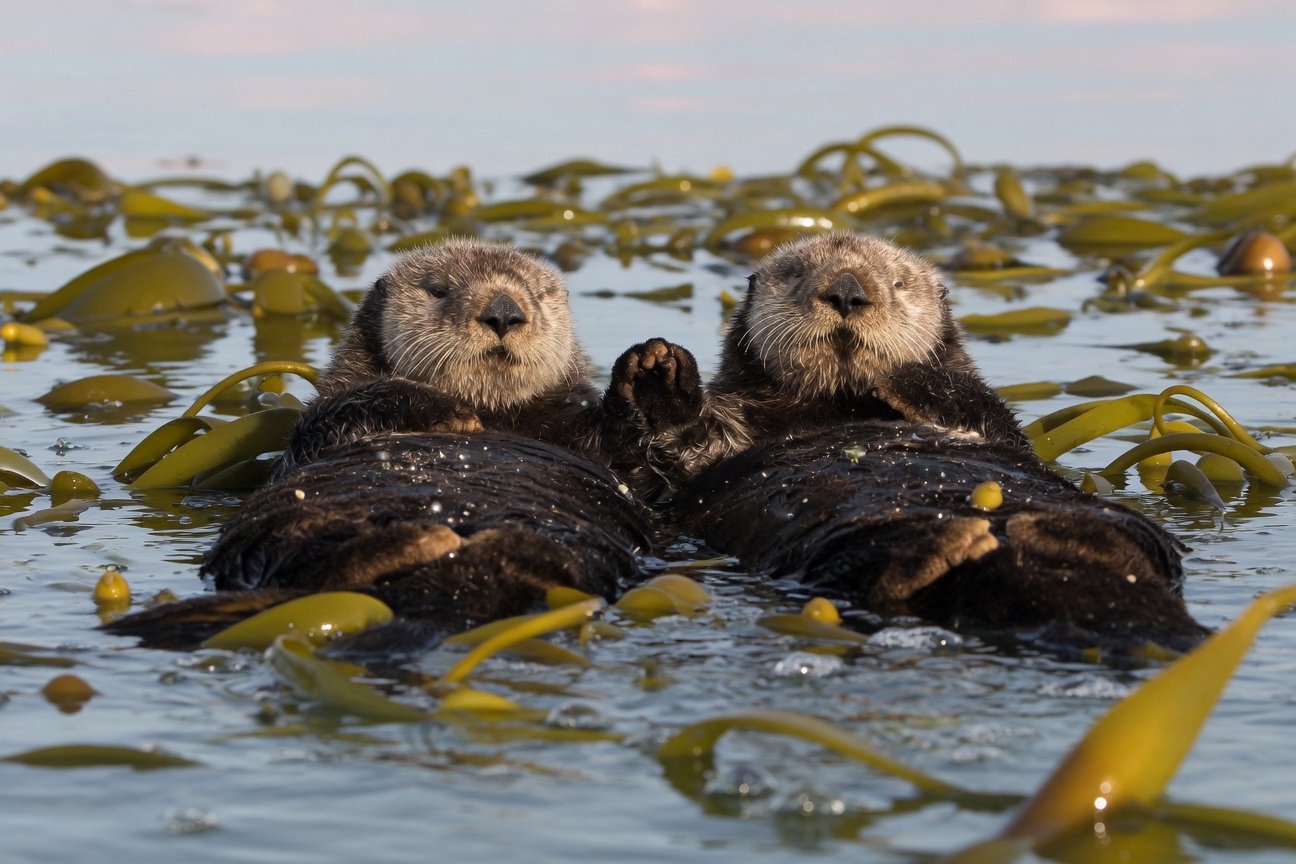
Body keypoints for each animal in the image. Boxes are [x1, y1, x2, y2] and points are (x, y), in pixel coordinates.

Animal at [105, 240, 657, 651]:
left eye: (537, 295)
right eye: (439, 290)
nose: (505, 311)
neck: (502, 415)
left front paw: (654, 374)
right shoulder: (326, 416)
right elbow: (345, 409)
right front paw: (447, 411)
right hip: (274, 539)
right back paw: (421, 537)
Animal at [615, 232, 1206, 650]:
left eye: (898, 283)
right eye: (796, 273)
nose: (847, 291)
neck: (836, 405)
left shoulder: (996, 424)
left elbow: (986, 413)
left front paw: (904, 376)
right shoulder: (734, 432)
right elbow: (687, 453)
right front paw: (659, 372)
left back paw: (1044, 528)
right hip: (848, 554)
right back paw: (949, 543)